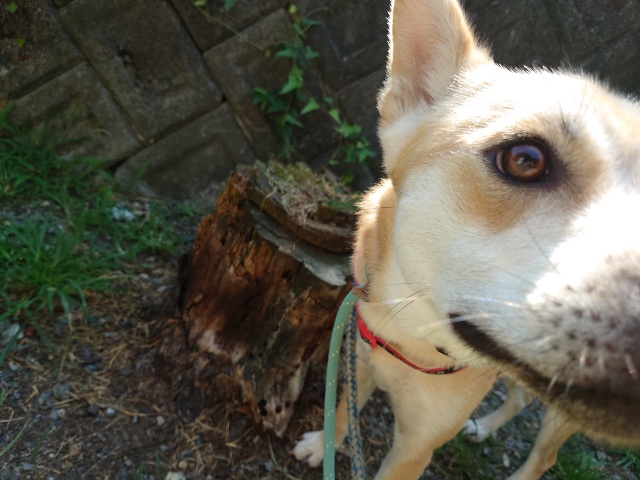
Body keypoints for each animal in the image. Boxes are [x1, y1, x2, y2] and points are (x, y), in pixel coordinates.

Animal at [293, 0, 640, 478]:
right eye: (525, 159)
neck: (408, 334)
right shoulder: (359, 363)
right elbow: (343, 410)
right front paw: (322, 443)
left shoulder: (415, 448)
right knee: (519, 399)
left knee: (545, 455)